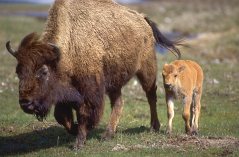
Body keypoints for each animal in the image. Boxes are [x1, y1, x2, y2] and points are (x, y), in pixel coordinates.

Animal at [6, 0, 180, 148]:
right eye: (18, 71)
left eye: (43, 71)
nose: (25, 103)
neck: (65, 52)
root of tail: (143, 19)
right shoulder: (64, 95)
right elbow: (62, 117)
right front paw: (75, 130)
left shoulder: (89, 92)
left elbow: (84, 114)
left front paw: (79, 142)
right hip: (114, 83)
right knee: (119, 102)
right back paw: (108, 134)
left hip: (146, 70)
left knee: (151, 95)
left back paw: (153, 127)